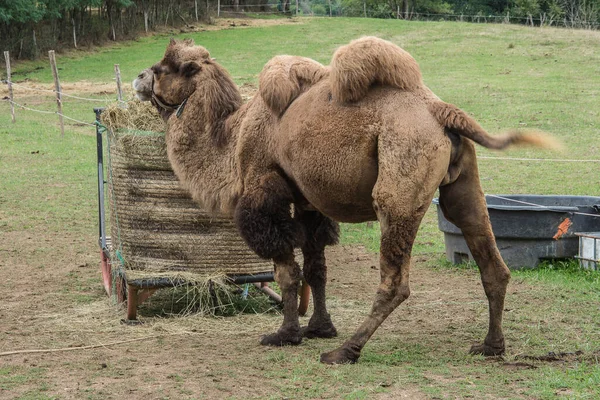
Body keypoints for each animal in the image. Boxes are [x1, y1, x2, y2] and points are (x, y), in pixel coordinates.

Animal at [132, 36, 556, 362]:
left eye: (166, 67)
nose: (138, 77)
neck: (231, 136)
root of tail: (438, 110)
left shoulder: (264, 189)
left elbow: (287, 271)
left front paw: (285, 334)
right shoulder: (307, 200)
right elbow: (317, 267)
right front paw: (319, 328)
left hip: (400, 179)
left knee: (395, 280)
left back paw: (346, 351)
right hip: (464, 182)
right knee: (489, 258)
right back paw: (490, 346)